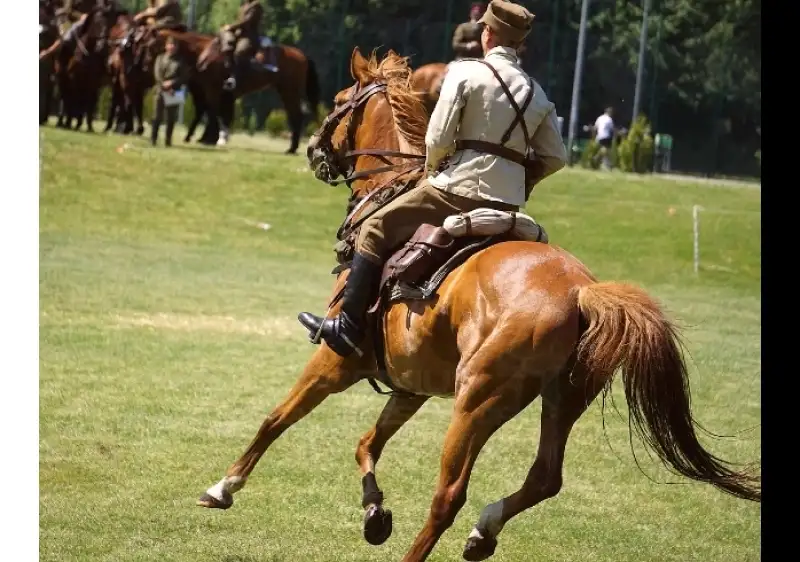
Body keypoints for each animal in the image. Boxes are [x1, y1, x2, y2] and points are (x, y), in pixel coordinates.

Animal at [159, 29, 320, 153]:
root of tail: (302, 55)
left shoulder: (213, 91)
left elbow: (214, 112)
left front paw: (210, 139)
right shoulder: (214, 93)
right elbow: (217, 113)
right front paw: (213, 138)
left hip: (289, 91)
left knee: (296, 115)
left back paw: (292, 149)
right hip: (285, 91)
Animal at [193, 48, 760, 562]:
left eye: (336, 102)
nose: (313, 150)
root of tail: (580, 290)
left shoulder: (337, 360)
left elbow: (277, 418)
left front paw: (223, 486)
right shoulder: (411, 384)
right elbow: (367, 442)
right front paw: (375, 513)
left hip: (479, 401)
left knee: (449, 494)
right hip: (561, 398)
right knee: (544, 478)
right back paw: (483, 532)